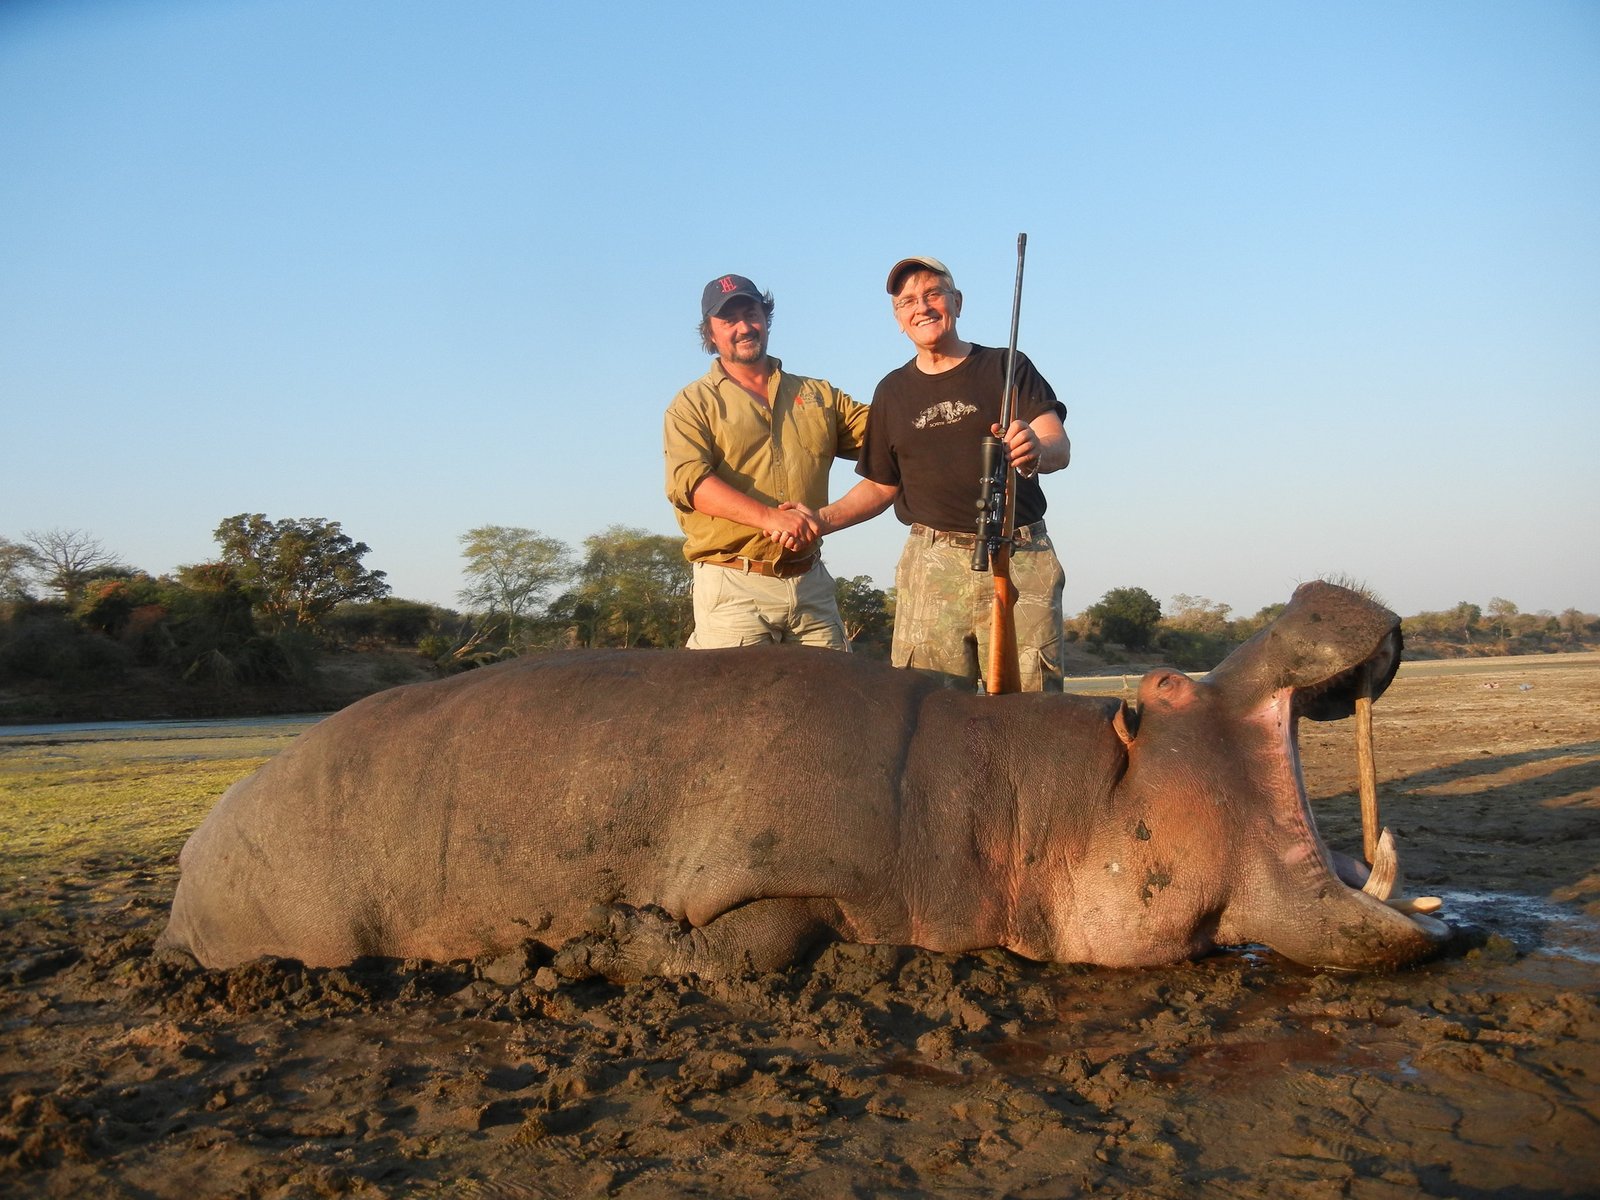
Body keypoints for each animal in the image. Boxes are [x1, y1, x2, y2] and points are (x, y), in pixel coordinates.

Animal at [158, 581, 1450, 978]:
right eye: (1170, 682)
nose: (1309, 598)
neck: (1037, 795)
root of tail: (192, 850)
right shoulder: (783, 873)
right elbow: (750, 946)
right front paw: (606, 944)